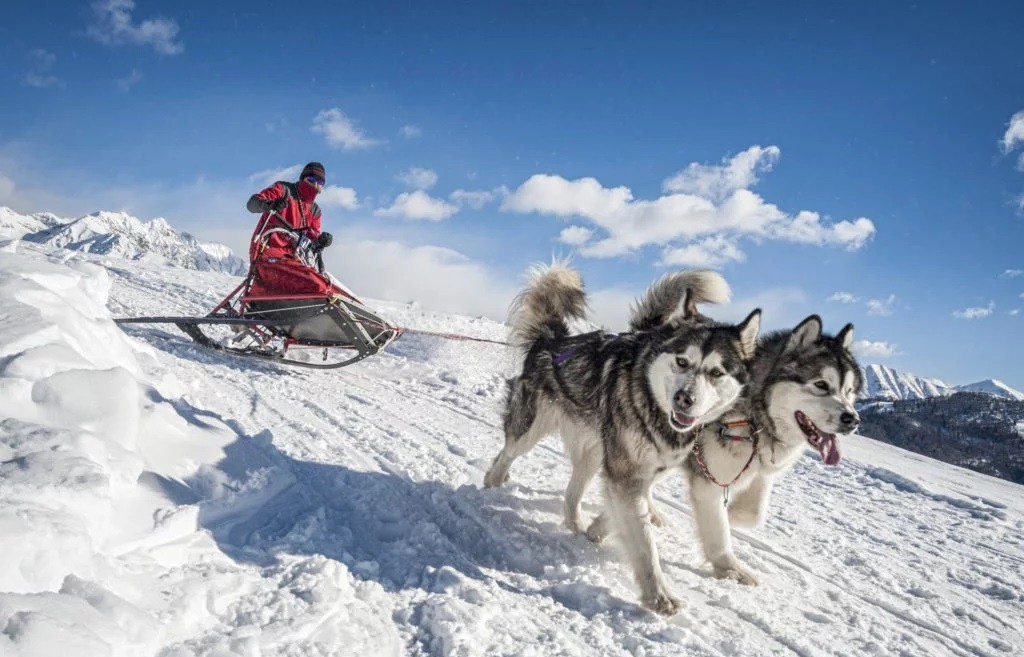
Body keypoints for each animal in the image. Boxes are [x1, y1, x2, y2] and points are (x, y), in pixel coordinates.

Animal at [481, 261, 761, 614]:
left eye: (716, 373)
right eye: (682, 361)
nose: (685, 398)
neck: (652, 404)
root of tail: (551, 342)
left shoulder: (644, 472)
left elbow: (628, 515)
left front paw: (598, 529)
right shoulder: (626, 476)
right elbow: (644, 545)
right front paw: (659, 595)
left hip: (591, 455)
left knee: (572, 494)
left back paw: (574, 525)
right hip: (530, 428)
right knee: (506, 454)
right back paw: (492, 484)